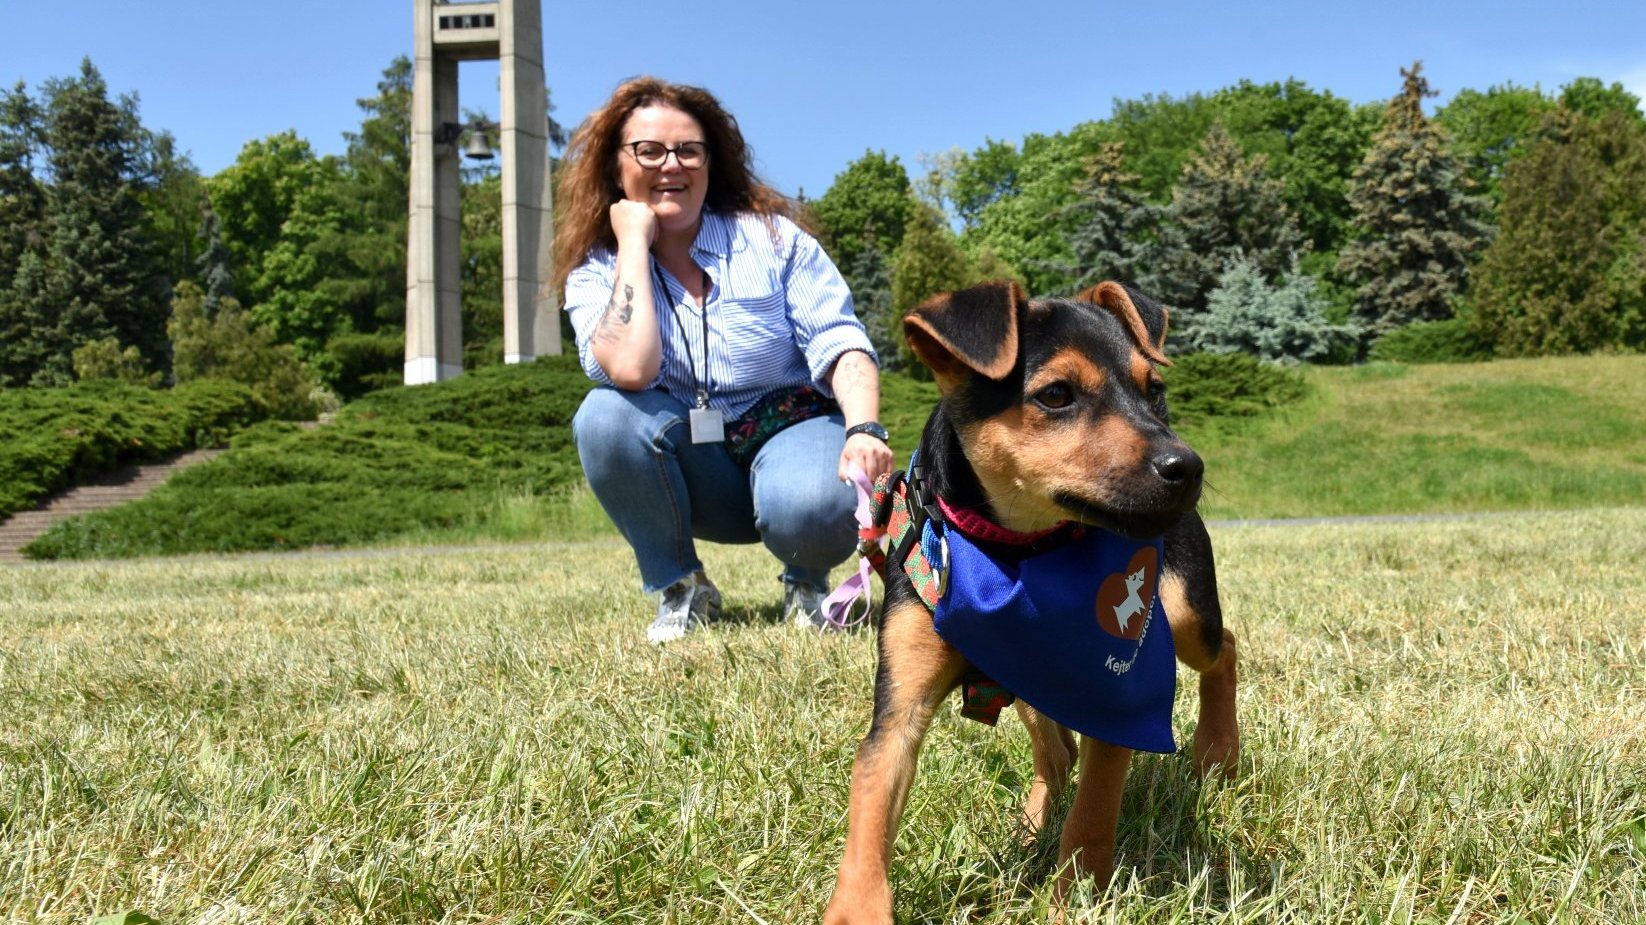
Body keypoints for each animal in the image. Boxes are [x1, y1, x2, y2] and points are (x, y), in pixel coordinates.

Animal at [823, 276, 1237, 915]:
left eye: (1155, 391)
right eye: (1057, 395)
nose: (1187, 467)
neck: (1017, 552)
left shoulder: (1111, 695)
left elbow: (1092, 815)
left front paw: (1075, 900)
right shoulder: (899, 708)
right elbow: (869, 801)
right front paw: (855, 910)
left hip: (1185, 611)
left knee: (1225, 649)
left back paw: (1217, 750)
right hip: (1027, 679)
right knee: (1056, 755)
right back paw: (1032, 824)